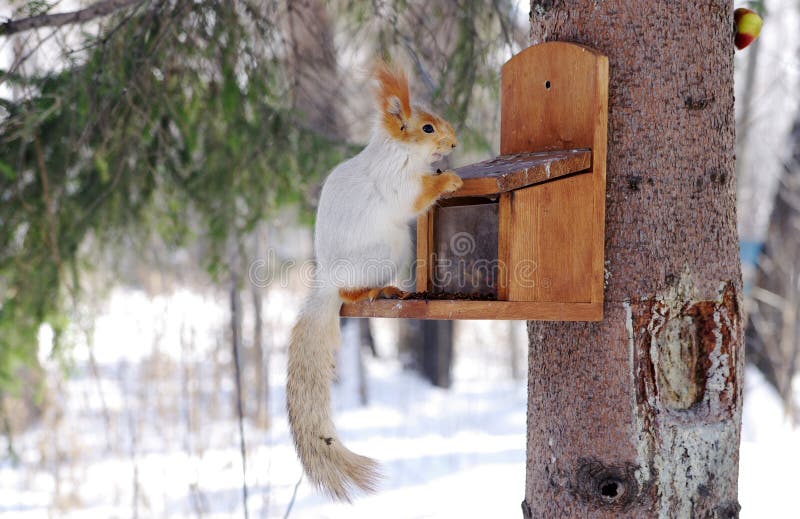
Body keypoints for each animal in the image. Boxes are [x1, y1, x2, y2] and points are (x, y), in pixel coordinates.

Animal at [286, 61, 462, 501]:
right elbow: (414, 198)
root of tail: (327, 283)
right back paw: (382, 289)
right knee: (351, 293)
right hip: (388, 250)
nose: (454, 143)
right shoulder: (396, 183)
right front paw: (448, 180)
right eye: (427, 128)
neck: (401, 153)